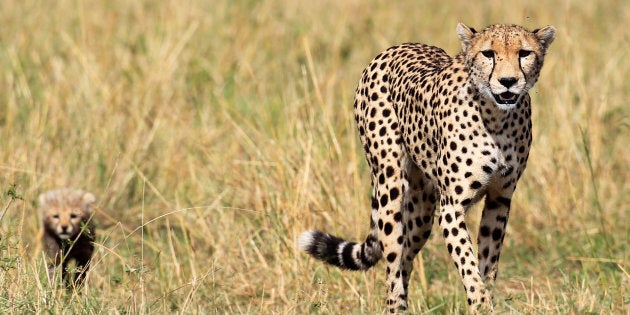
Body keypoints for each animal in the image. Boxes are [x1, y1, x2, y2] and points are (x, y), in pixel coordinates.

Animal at [298, 22, 556, 314]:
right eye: (488, 53)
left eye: (524, 53)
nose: (508, 81)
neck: (497, 117)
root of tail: (395, 47)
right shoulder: (452, 207)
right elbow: (469, 266)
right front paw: (480, 303)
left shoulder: (500, 199)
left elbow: (487, 265)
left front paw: (489, 298)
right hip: (390, 188)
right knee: (393, 264)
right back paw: (396, 306)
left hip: (422, 210)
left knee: (406, 258)